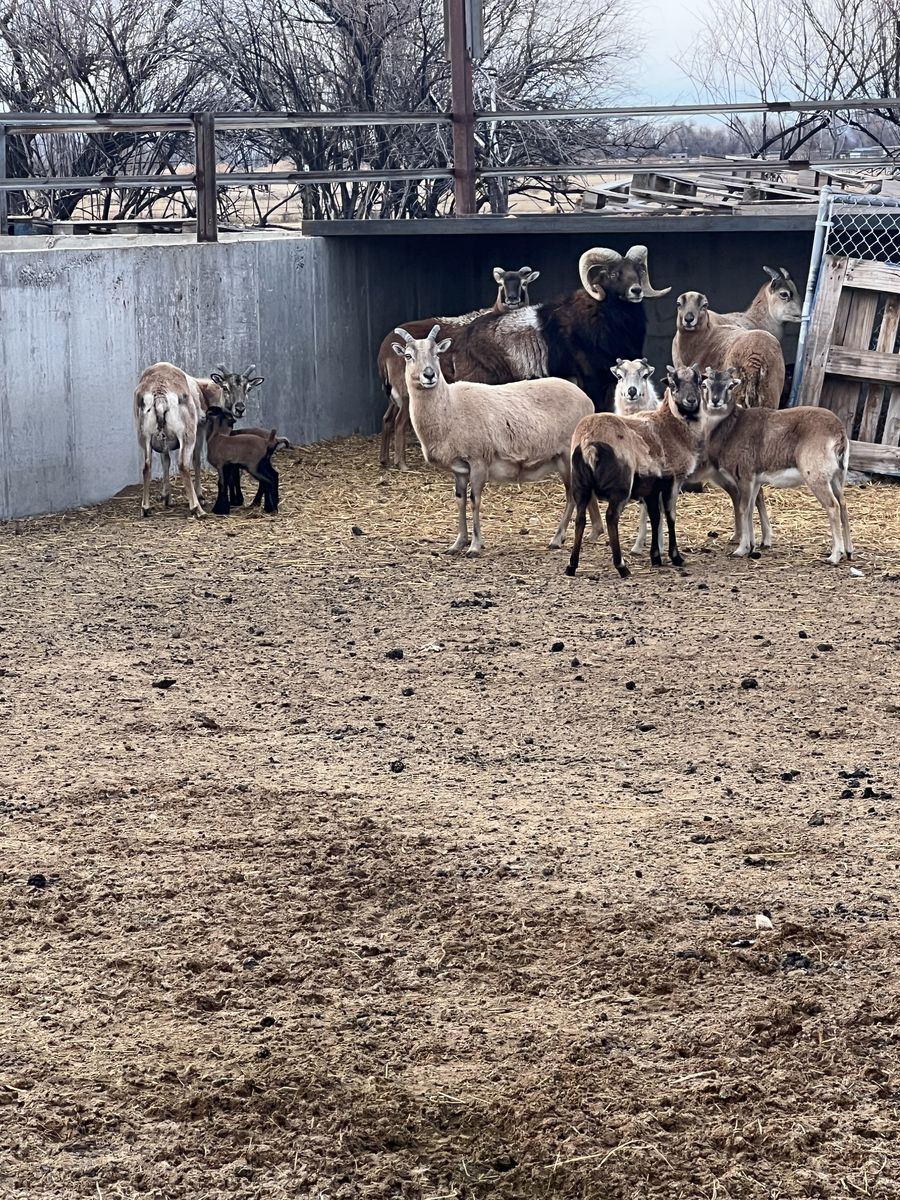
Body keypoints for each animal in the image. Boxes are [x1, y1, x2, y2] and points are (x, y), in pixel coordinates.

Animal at [134, 362, 206, 518]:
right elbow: (197, 460)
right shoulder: (199, 432)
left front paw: (166, 497)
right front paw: (200, 495)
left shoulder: (162, 444)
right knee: (183, 465)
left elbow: (165, 461)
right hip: (187, 434)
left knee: (146, 466)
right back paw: (197, 509)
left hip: (144, 436)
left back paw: (145, 507)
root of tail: (160, 394)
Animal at [379, 265, 540, 470]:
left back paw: (384, 460)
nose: (512, 298)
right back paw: (402, 464)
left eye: (524, 283)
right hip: (406, 391)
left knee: (387, 419)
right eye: (501, 283)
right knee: (399, 422)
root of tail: (383, 351)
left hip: (393, 393)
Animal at [391, 324, 601, 556]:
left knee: (572, 495)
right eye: (408, 356)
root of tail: (588, 402)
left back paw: (557, 539)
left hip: (567, 454)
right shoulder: (459, 468)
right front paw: (457, 544)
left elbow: (475, 500)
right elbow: (460, 500)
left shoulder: (478, 460)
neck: (450, 407)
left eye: (437, 353)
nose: (429, 375)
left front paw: (474, 546)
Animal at [564, 365, 708, 579]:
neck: (671, 426)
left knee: (580, 519)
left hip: (580, 483)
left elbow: (655, 516)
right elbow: (670, 515)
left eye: (699, 382)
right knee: (611, 518)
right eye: (673, 384)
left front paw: (656, 557)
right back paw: (622, 566)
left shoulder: (651, 488)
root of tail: (588, 441)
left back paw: (572, 566)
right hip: (621, 486)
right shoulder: (674, 480)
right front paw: (676, 557)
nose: (691, 400)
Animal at [701, 368, 853, 565]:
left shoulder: (745, 477)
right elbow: (750, 509)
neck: (731, 428)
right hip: (837, 477)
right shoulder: (755, 480)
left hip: (816, 477)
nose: (715, 401)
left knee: (833, 506)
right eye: (705, 385)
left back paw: (834, 556)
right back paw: (849, 551)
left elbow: (743, 509)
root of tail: (839, 433)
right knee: (842, 503)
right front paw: (753, 546)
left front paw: (741, 549)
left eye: (730, 386)